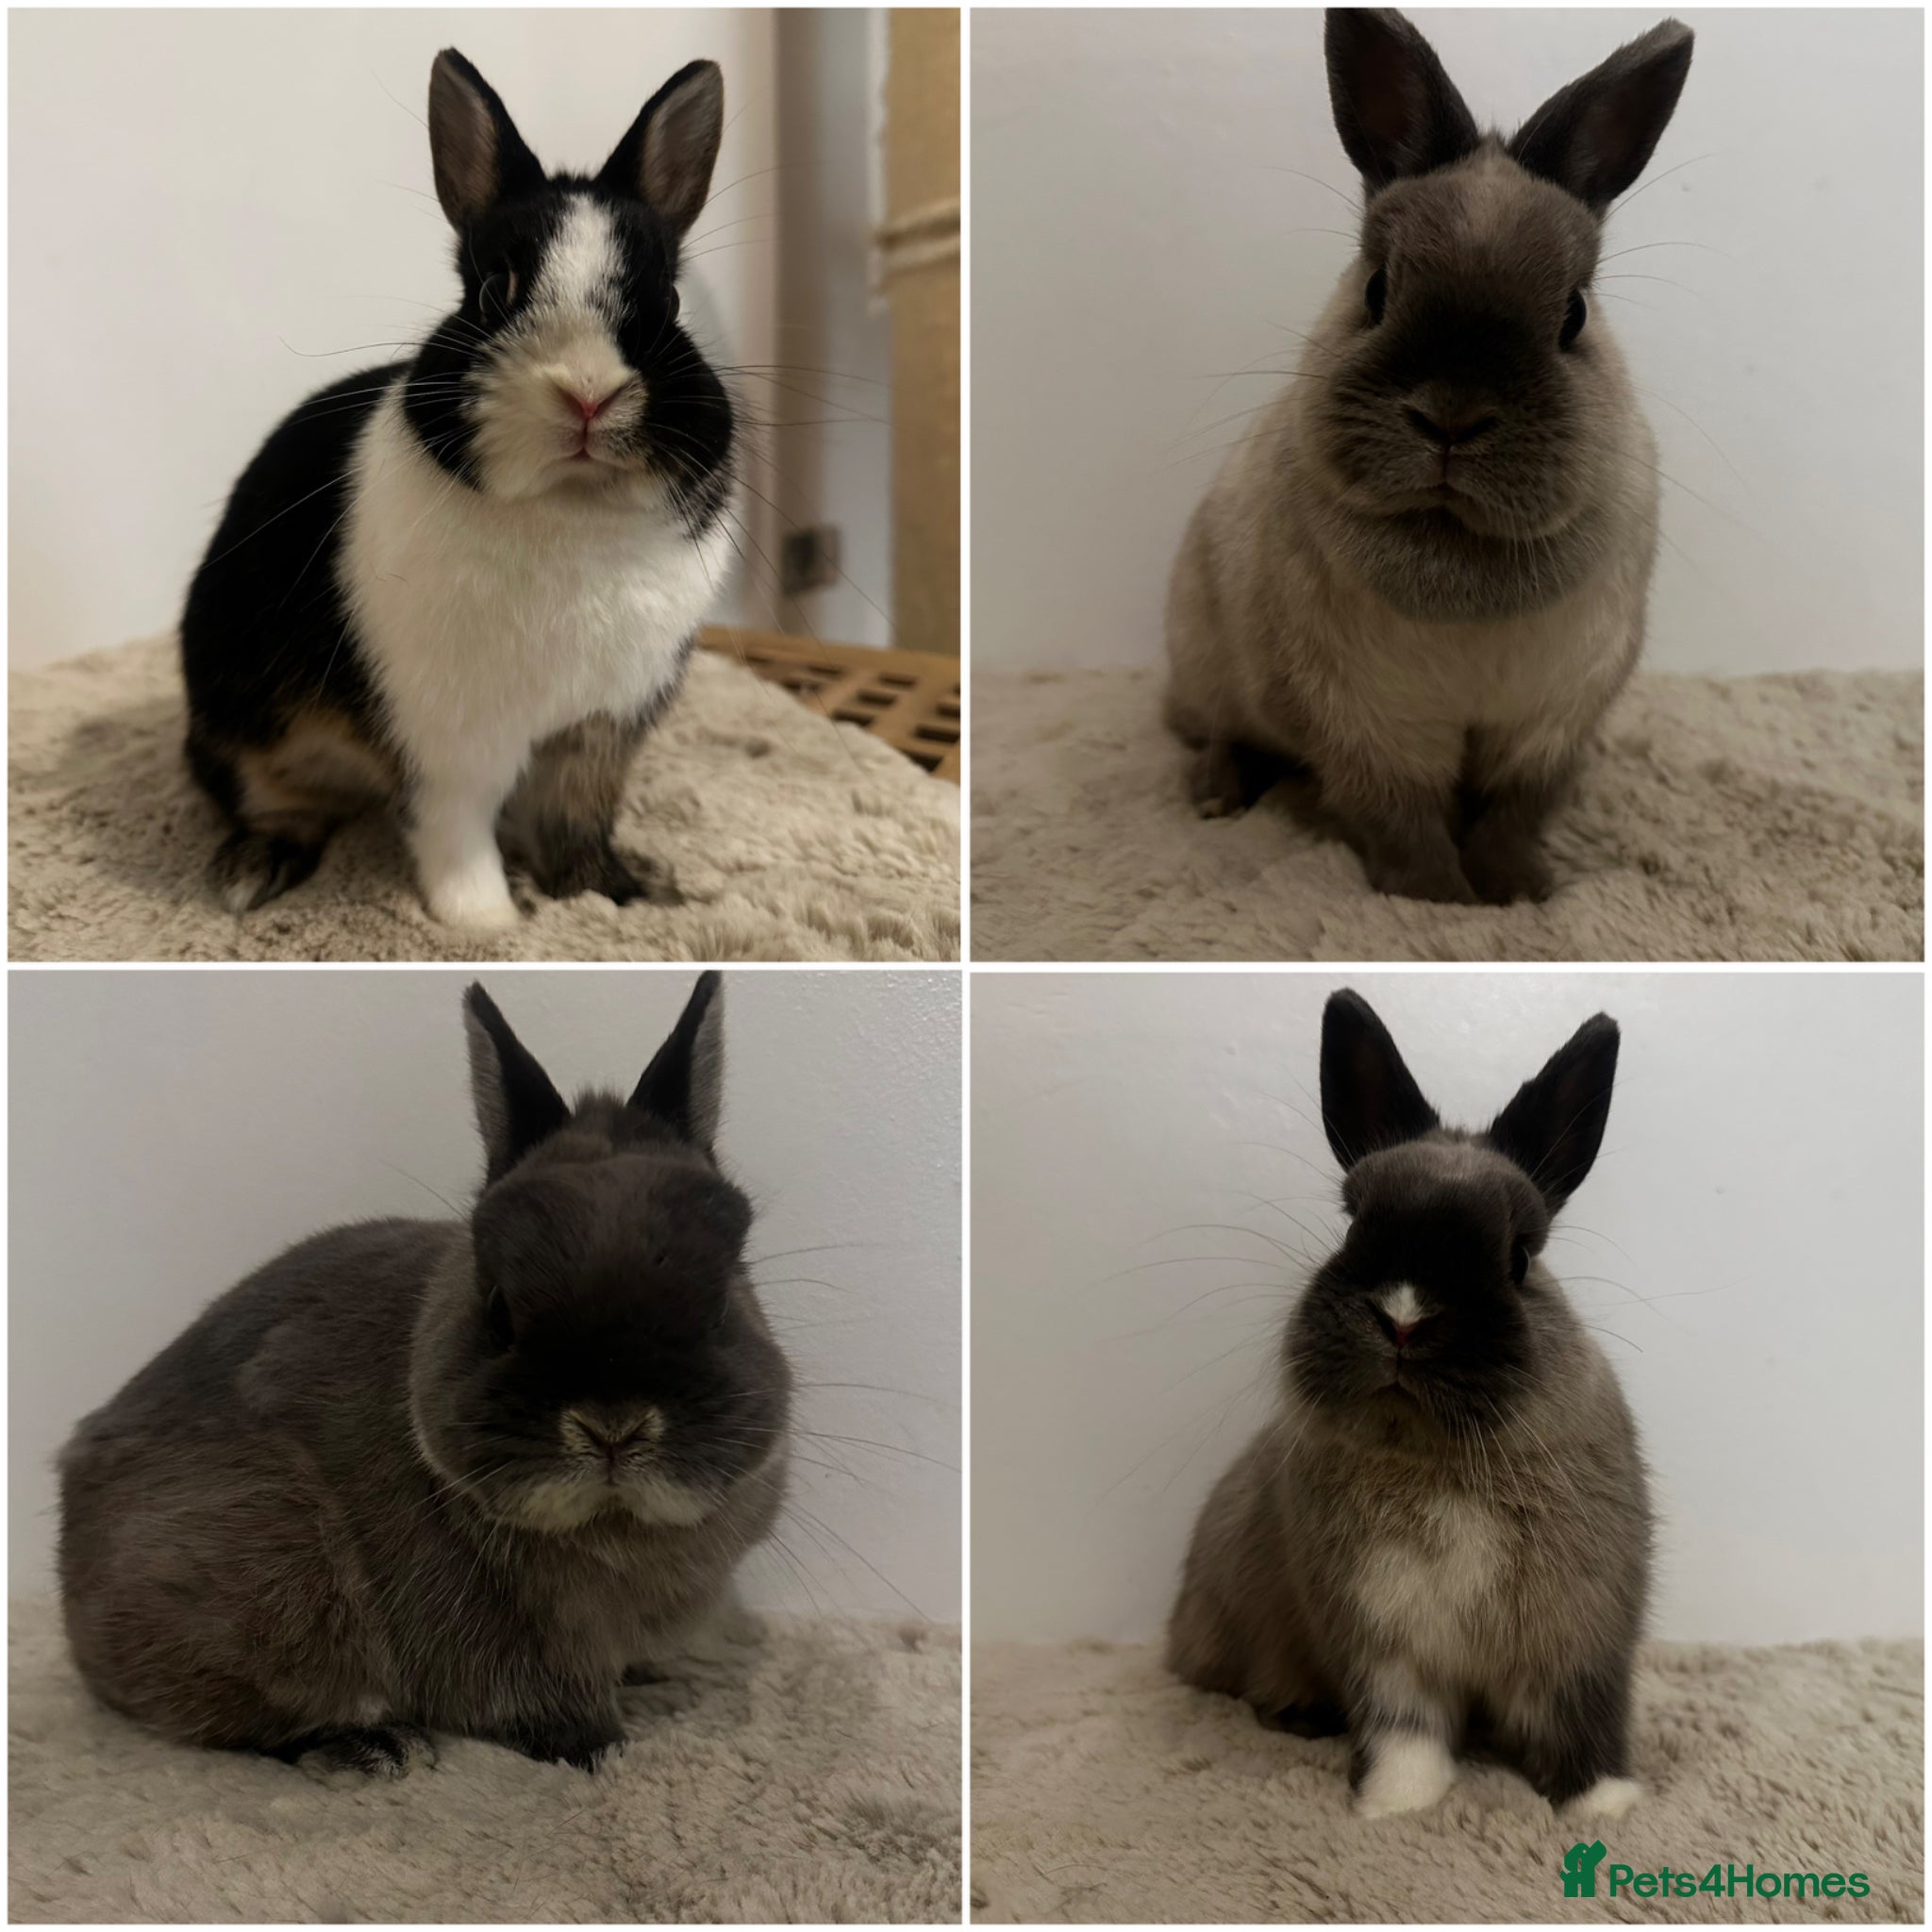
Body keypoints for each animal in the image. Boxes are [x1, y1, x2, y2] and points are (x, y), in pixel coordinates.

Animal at [58, 971, 792, 1776]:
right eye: (499, 1307)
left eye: (722, 1298)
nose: (613, 1425)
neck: (613, 1525)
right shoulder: (501, 1647)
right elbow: (544, 1707)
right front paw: (607, 1749)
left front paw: (660, 1687)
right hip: (266, 1571)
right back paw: (373, 1749)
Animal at [180, 50, 738, 928]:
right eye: (490, 292)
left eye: (671, 302)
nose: (587, 393)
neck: (569, 506)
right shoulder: (451, 743)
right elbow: (454, 827)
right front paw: (488, 922)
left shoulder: (598, 729)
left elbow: (577, 815)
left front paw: (607, 896)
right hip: (244, 719)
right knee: (267, 796)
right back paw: (251, 873)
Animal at [1165, 9, 1694, 904]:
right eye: (1376, 289)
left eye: (1575, 315)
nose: (1452, 417)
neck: (1456, 544)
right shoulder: (1367, 729)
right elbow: (1402, 823)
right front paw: (1437, 902)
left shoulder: (1550, 727)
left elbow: (1513, 815)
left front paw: (1519, 892)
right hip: (1210, 675)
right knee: (1219, 736)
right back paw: (1216, 798)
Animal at [1166, 988, 1650, 1821]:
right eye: (1353, 1223)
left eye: (1520, 1258)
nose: (1403, 1318)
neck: (1434, 1461)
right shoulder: (1378, 1642)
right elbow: (1404, 1727)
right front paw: (1397, 1806)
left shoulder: (1578, 1636)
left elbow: (1578, 1718)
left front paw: (1604, 1808)